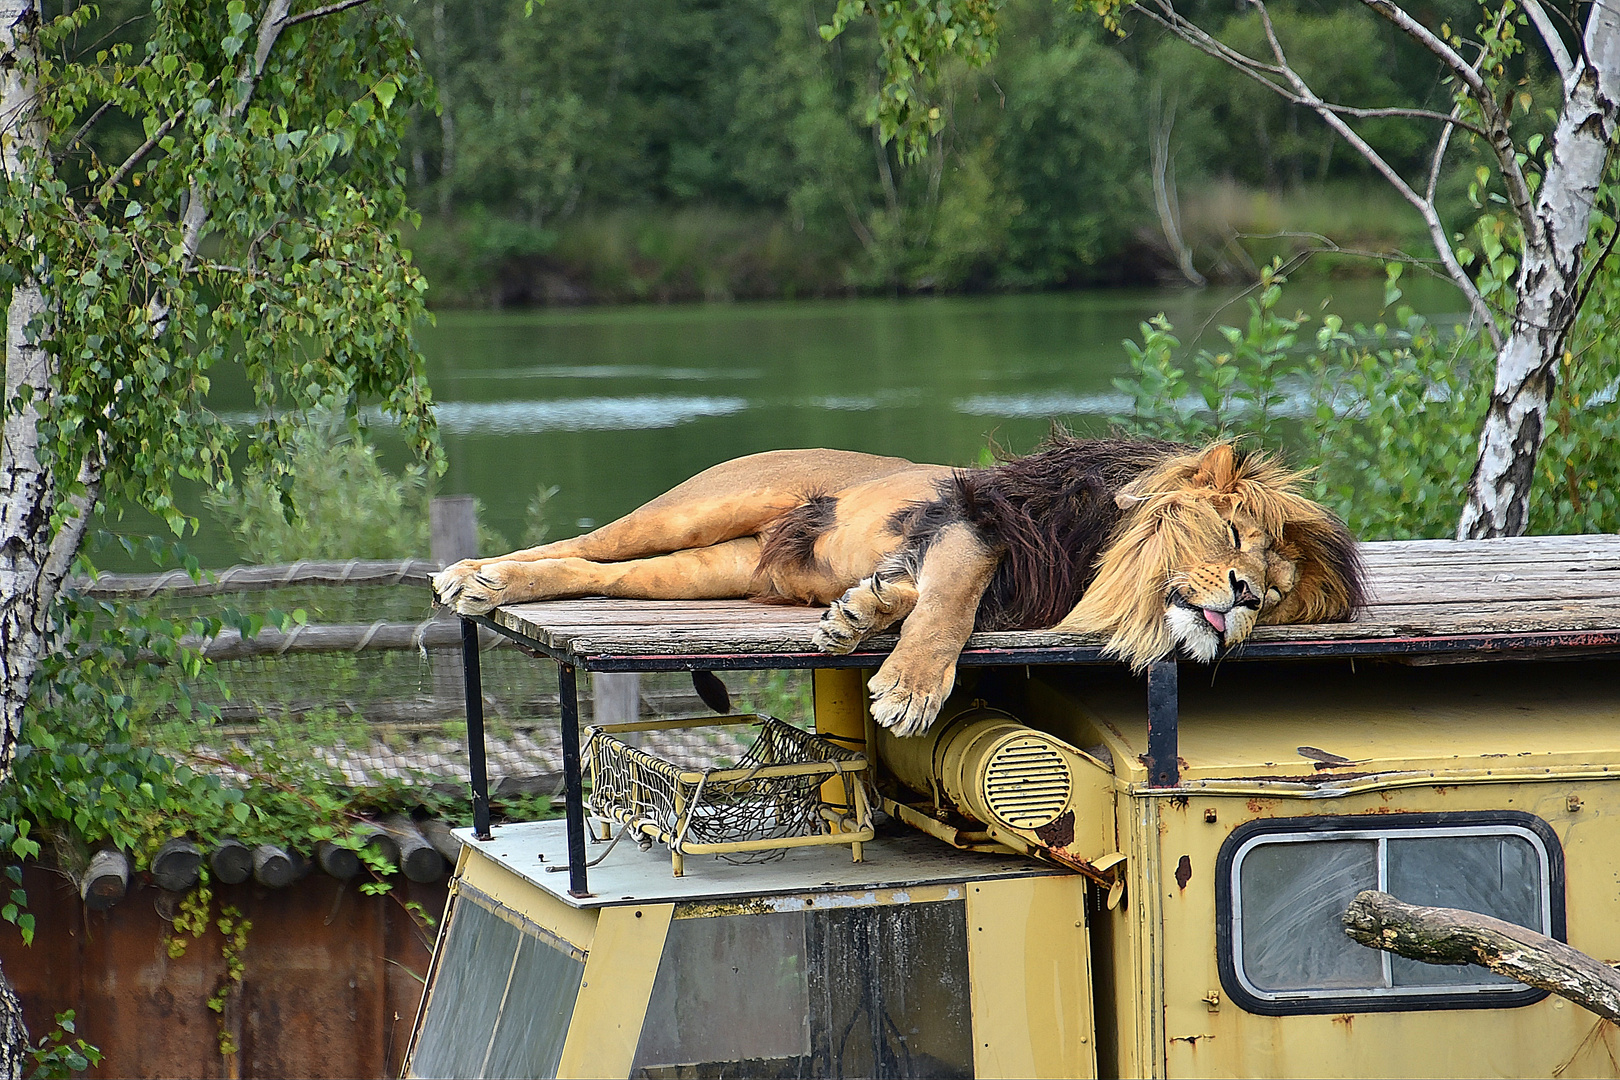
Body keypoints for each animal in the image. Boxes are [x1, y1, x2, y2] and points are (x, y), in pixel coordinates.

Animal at [434, 437, 1367, 735]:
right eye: (1239, 538)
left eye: (1280, 593)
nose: (1245, 598)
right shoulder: (979, 521)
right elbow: (951, 604)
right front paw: (912, 693)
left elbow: (916, 595)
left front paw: (860, 613)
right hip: (695, 510)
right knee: (585, 542)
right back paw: (475, 578)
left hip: (705, 569)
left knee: (596, 572)